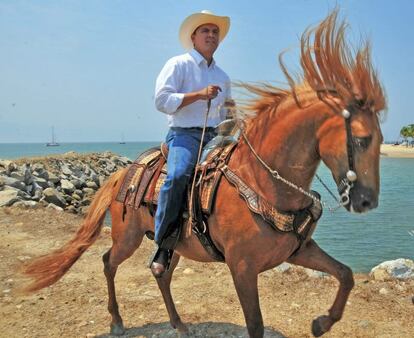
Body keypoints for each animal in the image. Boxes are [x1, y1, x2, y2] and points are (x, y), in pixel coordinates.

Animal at [21, 11, 384, 338]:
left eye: (381, 138)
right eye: (361, 139)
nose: (367, 201)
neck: (263, 184)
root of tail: (122, 173)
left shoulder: (299, 251)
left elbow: (346, 274)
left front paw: (321, 323)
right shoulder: (242, 268)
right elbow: (255, 325)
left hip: (172, 247)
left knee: (161, 273)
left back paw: (179, 324)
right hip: (127, 237)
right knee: (109, 261)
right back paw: (116, 321)